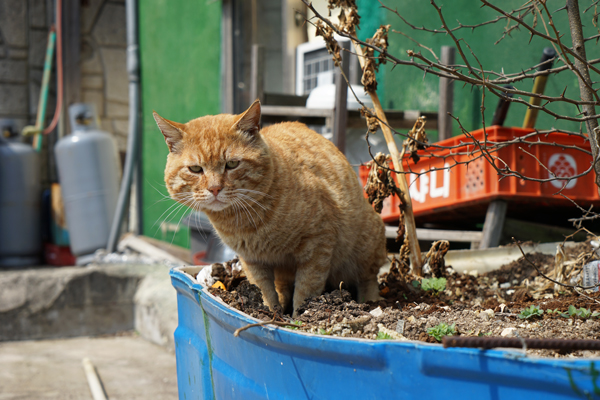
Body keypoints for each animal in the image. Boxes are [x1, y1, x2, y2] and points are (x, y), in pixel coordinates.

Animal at [155, 100, 386, 316]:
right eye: (195, 169)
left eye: (232, 164)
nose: (214, 188)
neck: (243, 220)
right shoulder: (252, 261)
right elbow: (264, 289)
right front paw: (271, 312)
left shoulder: (318, 246)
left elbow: (306, 290)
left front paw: (298, 317)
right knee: (282, 286)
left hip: (366, 245)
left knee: (369, 279)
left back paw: (370, 302)